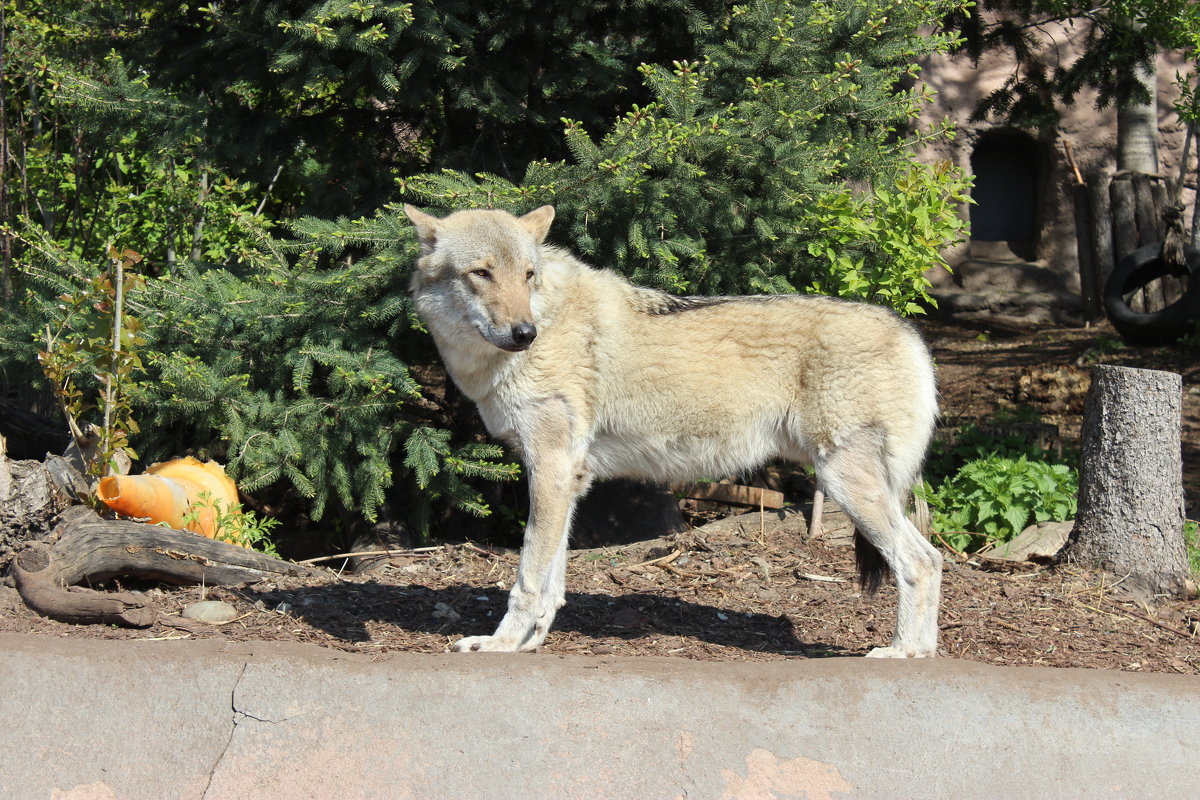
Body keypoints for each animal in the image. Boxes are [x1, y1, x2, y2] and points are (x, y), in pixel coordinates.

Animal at [408, 205, 940, 657]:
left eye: (527, 275)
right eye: (481, 273)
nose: (525, 333)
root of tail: (911, 334)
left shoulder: (552, 471)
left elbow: (528, 579)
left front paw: (499, 644)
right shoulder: (566, 478)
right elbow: (552, 583)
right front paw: (530, 643)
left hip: (844, 484)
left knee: (922, 562)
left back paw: (900, 652)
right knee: (933, 561)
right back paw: (924, 652)